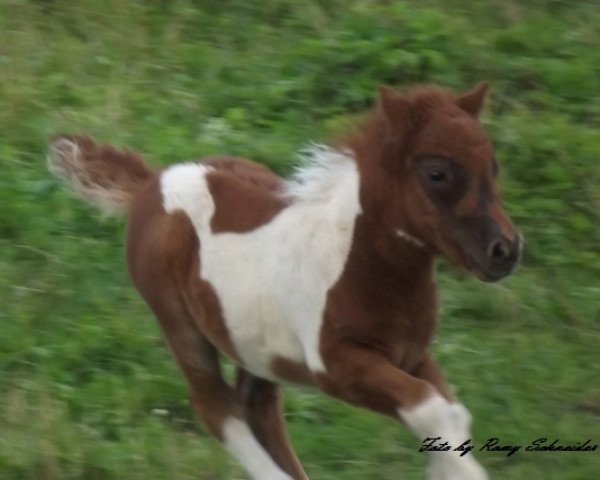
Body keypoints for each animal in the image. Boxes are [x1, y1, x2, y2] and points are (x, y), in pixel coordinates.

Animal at [49, 83, 520, 480]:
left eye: (494, 167)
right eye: (437, 173)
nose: (506, 250)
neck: (360, 265)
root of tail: (152, 182)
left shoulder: (410, 355)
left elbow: (451, 413)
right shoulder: (336, 367)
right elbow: (432, 410)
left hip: (253, 343)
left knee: (257, 408)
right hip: (178, 323)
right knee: (216, 407)